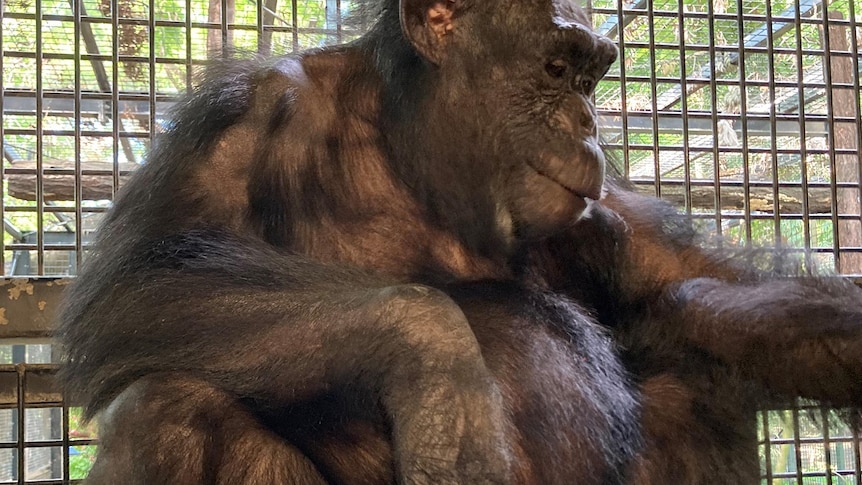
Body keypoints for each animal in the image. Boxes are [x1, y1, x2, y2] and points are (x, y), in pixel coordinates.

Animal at [57, 0, 862, 482]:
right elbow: (143, 280)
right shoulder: (240, 117)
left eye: (592, 76)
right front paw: (441, 374)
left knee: (696, 367)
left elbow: (725, 295)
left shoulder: (610, 216)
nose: (586, 122)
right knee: (167, 410)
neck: (409, 153)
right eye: (555, 68)